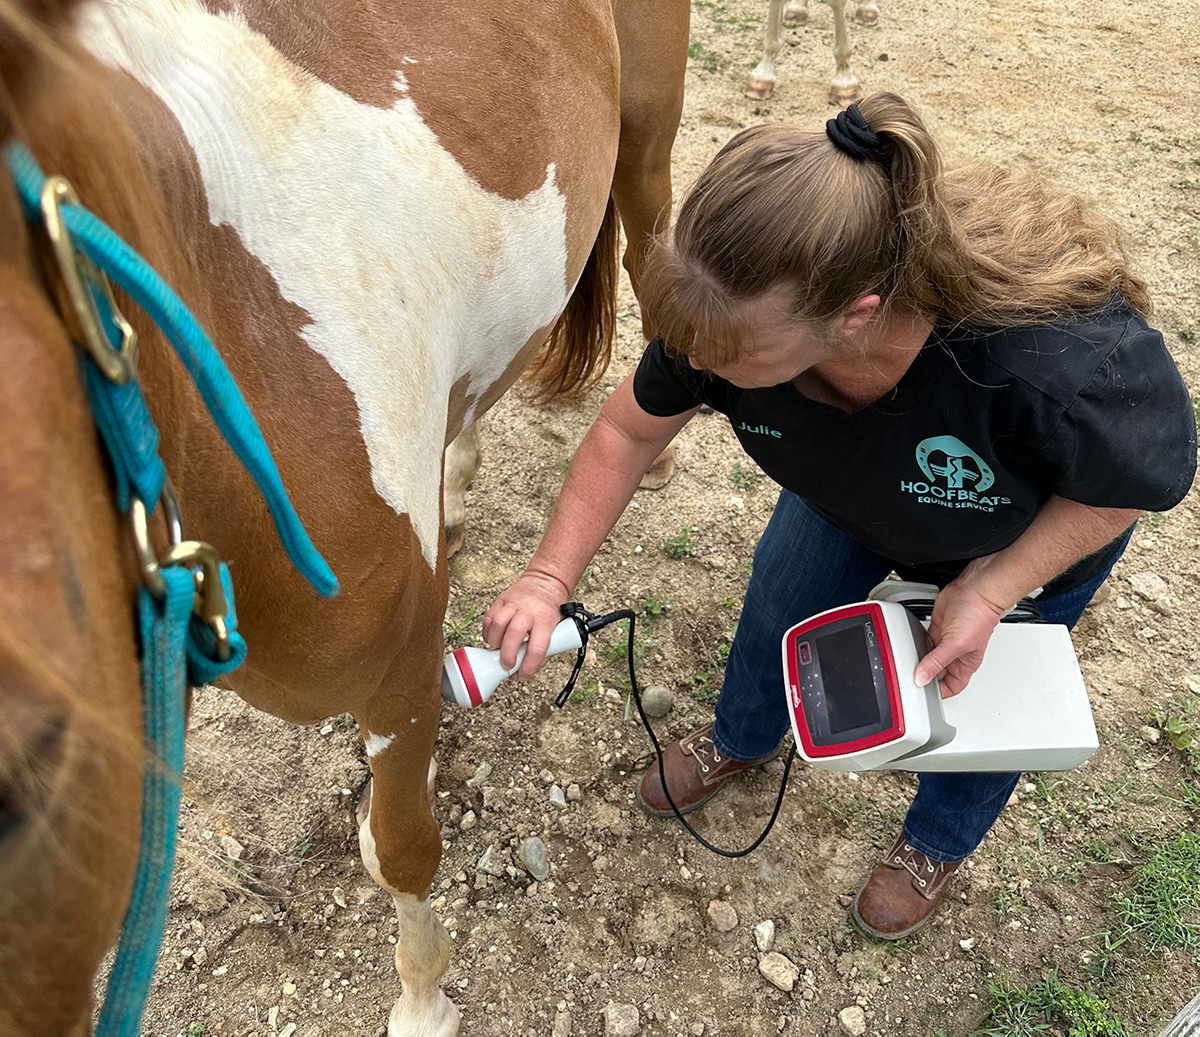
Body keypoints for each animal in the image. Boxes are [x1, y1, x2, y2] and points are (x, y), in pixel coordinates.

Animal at [0, 1, 688, 1033]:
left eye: (28, 773)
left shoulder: (399, 674)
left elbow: (398, 849)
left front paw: (424, 999)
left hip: (645, 143)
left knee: (655, 256)